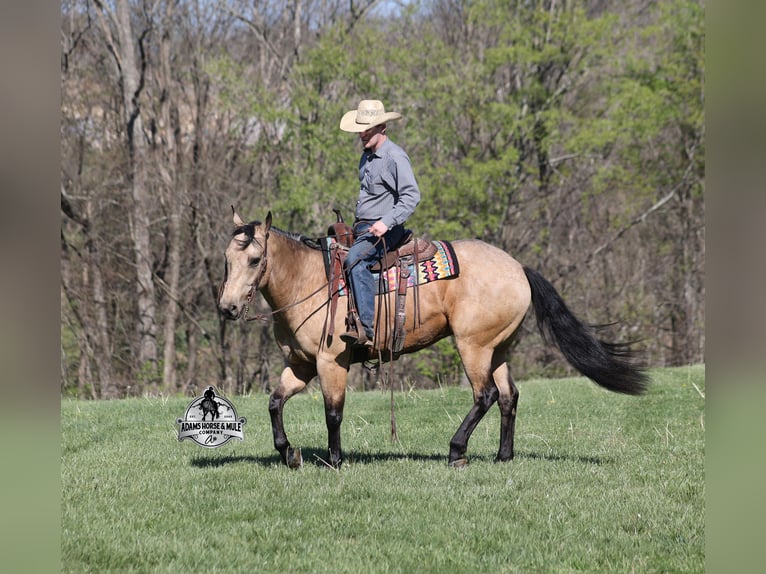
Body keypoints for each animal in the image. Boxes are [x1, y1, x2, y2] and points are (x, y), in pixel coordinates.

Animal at [217, 210, 647, 468]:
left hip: (473, 346)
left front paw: (335, 460)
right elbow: (274, 402)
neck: (309, 282)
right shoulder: (301, 365)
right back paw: (502, 456)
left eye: (254, 260)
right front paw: (288, 452)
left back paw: (457, 451)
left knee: (485, 395)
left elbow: (333, 412)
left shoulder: (330, 363)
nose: (227, 308)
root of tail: (518, 267)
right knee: (508, 396)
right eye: (227, 259)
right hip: (498, 349)